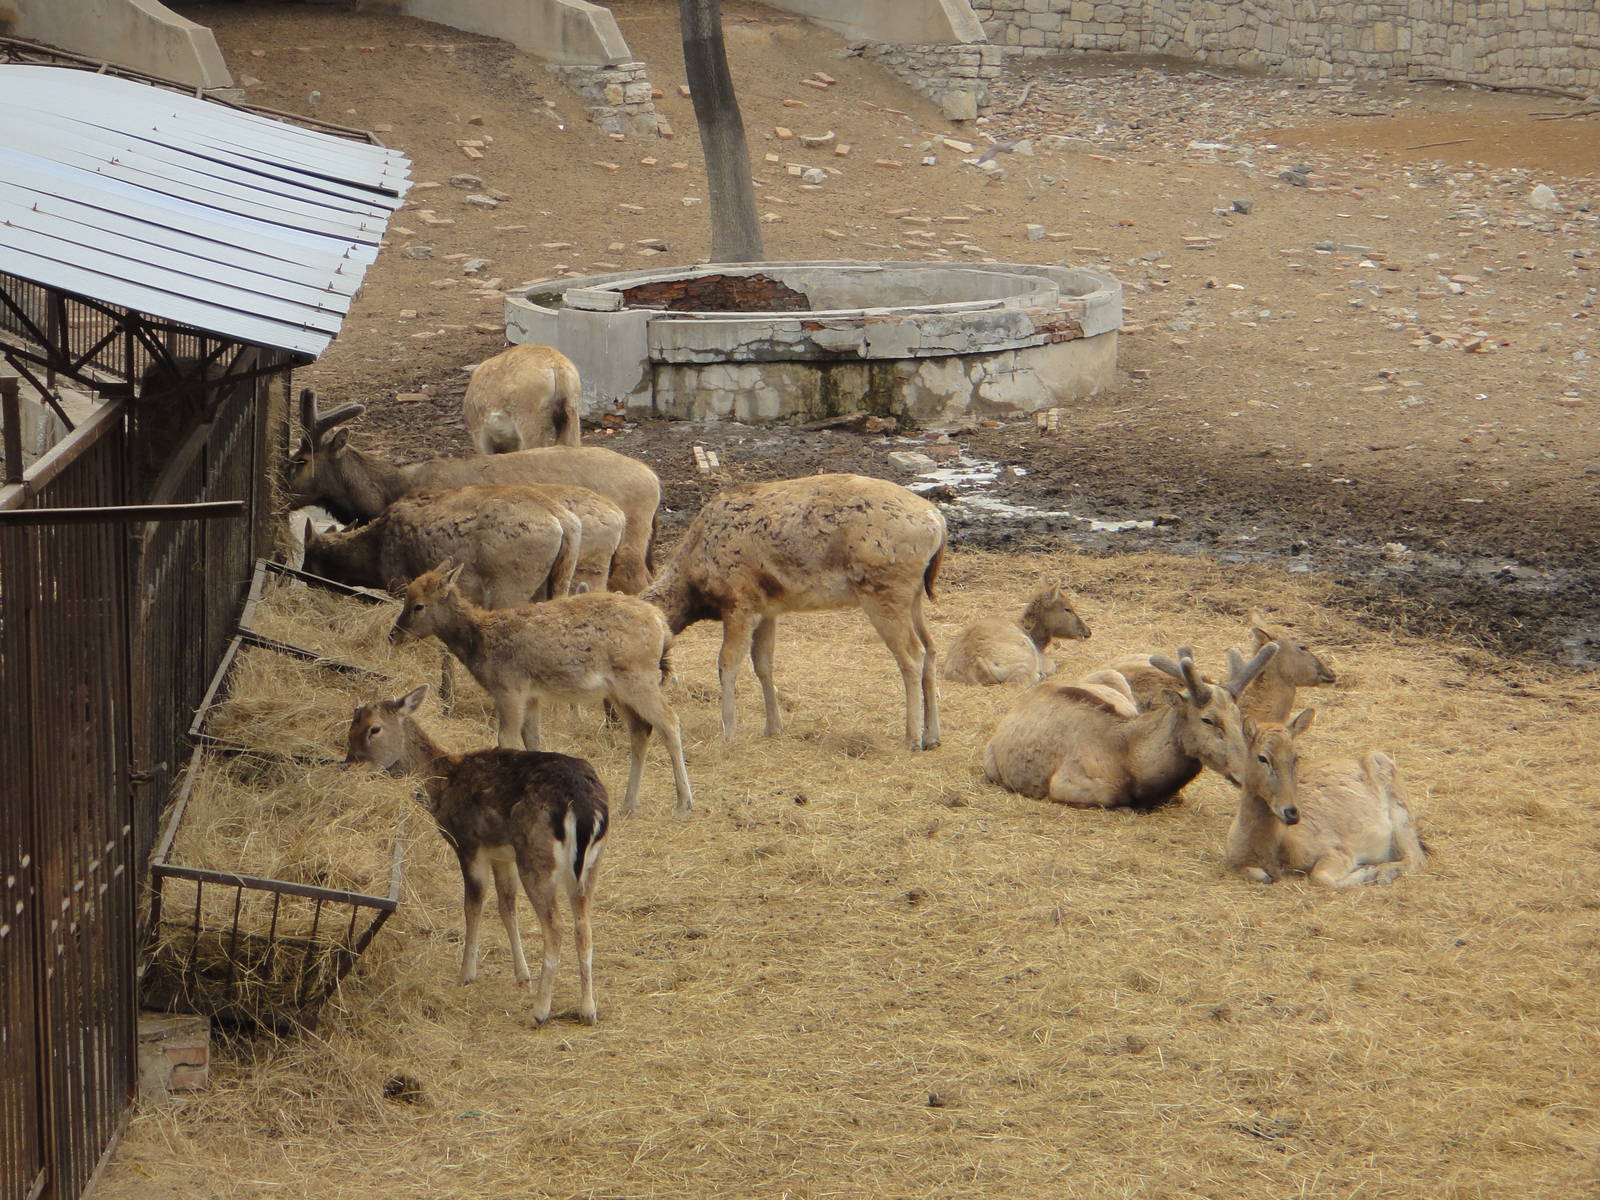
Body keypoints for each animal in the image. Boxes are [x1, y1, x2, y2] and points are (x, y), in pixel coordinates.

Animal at [303, 485, 579, 608]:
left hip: (510, 588)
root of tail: (564, 523)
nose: (303, 577)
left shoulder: (399, 581)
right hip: (556, 582)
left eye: (309, 558)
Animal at [344, 686, 608, 1024]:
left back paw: (540, 1011)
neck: (441, 784)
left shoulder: (467, 842)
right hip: (589, 866)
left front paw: (466, 973)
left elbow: (473, 905)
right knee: (584, 926)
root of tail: (586, 807)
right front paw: (521, 974)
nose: (350, 764)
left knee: (556, 928)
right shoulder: (502, 854)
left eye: (374, 729)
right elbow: (506, 905)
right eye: (351, 726)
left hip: (537, 858)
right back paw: (587, 1009)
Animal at [392, 562, 695, 817]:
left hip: (638, 679)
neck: (480, 643)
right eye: (406, 599)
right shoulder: (532, 696)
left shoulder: (509, 689)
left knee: (670, 722)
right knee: (641, 730)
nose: (394, 634)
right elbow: (533, 740)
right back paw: (629, 804)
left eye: (418, 606)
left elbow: (507, 740)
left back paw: (684, 804)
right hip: (618, 690)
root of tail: (662, 626)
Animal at [641, 473, 946, 751]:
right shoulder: (767, 609)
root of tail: (938, 523)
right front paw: (773, 726)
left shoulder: (739, 602)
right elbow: (763, 664)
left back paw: (911, 738)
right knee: (931, 648)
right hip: (914, 595)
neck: (694, 586)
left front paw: (728, 732)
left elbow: (726, 663)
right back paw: (932, 736)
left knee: (913, 654)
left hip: (884, 590)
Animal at [1229, 710, 1428, 887]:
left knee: (1416, 856)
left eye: (1296, 757)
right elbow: (1259, 875)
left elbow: (1320, 877)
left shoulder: (1338, 851)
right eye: (1262, 757)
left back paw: (1384, 874)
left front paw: (1368, 871)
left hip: (1400, 812)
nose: (1291, 812)